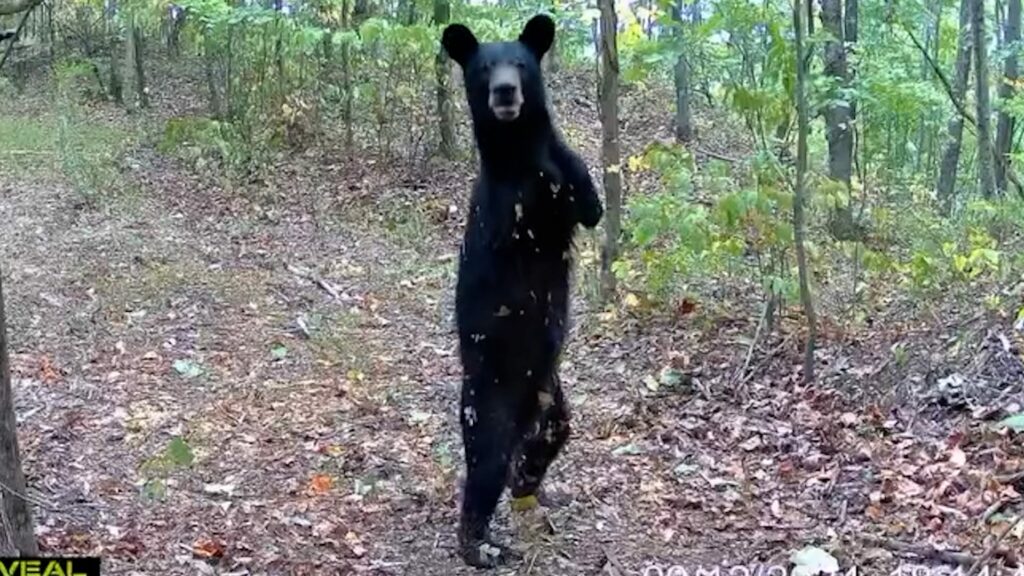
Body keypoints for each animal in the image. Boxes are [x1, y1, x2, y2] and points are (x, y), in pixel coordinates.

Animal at [444, 14, 602, 569]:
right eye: (483, 68)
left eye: (522, 63)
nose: (505, 91)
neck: (517, 147)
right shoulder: (504, 206)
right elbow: (523, 213)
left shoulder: (569, 180)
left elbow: (587, 199)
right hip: (490, 396)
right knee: (485, 465)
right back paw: (480, 545)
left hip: (551, 394)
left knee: (550, 436)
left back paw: (529, 485)